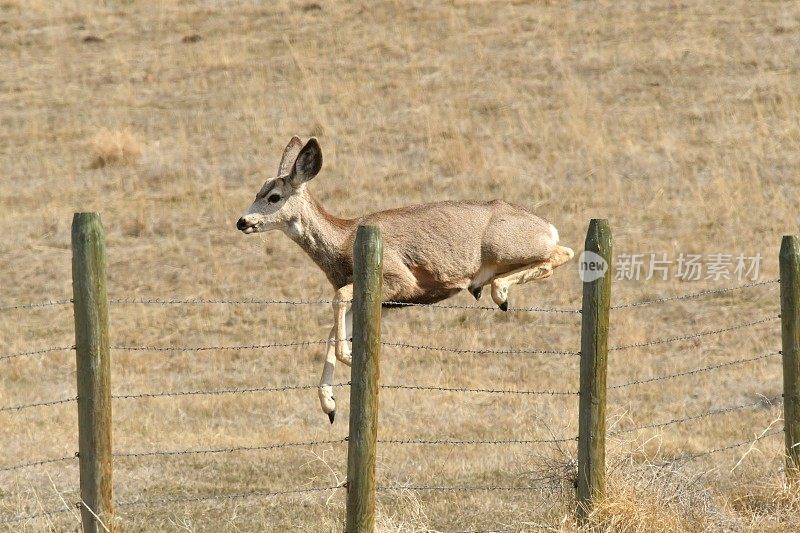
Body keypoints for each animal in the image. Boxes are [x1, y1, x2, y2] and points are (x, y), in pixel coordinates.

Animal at [234, 138, 572, 424]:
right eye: (257, 192)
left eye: (274, 197)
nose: (242, 221)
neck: (343, 240)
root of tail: (548, 226)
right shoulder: (375, 300)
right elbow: (332, 332)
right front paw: (329, 405)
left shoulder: (400, 280)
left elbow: (338, 301)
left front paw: (350, 358)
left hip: (506, 246)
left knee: (562, 253)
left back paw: (499, 292)